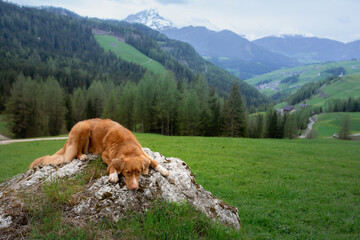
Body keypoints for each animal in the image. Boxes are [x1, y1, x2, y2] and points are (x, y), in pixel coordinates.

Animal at [28, 118, 169, 189]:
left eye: (138, 172)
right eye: (127, 172)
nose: (134, 187)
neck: (126, 144)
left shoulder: (142, 152)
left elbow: (152, 161)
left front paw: (163, 169)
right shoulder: (105, 154)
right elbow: (112, 163)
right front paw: (113, 175)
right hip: (83, 127)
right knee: (76, 153)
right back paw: (82, 156)